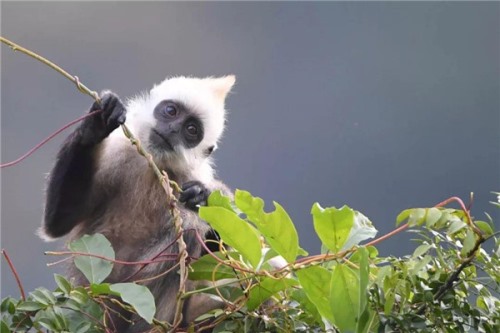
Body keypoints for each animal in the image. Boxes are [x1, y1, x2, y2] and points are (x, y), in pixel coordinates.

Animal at [37, 75, 236, 332]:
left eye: (191, 130)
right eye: (171, 111)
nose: (173, 130)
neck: (154, 166)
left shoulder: (191, 175)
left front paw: (202, 196)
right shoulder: (118, 153)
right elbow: (58, 222)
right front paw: (95, 126)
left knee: (188, 229)